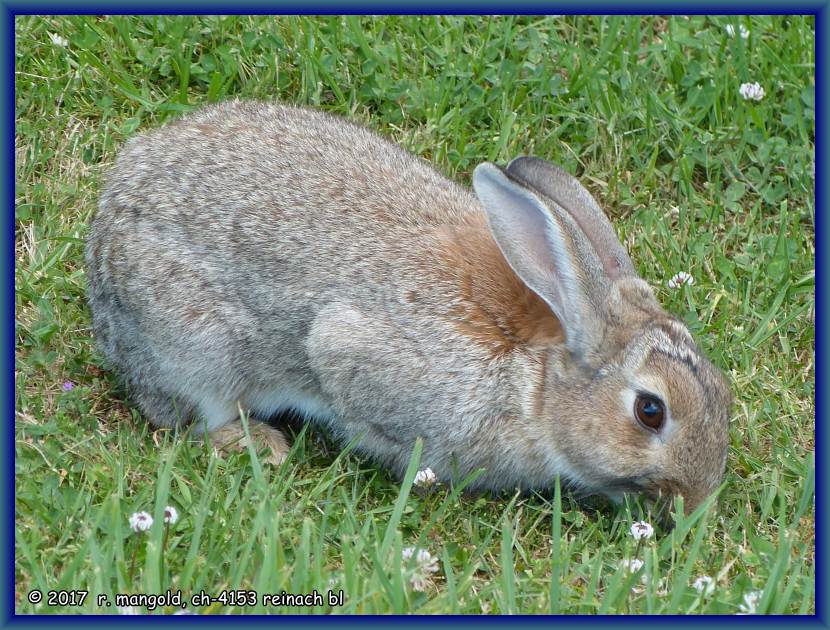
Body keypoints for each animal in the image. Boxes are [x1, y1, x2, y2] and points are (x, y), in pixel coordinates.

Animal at [86, 99, 736, 512]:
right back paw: (257, 444)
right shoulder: (357, 357)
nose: (697, 499)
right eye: (650, 411)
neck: (537, 381)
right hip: (194, 346)